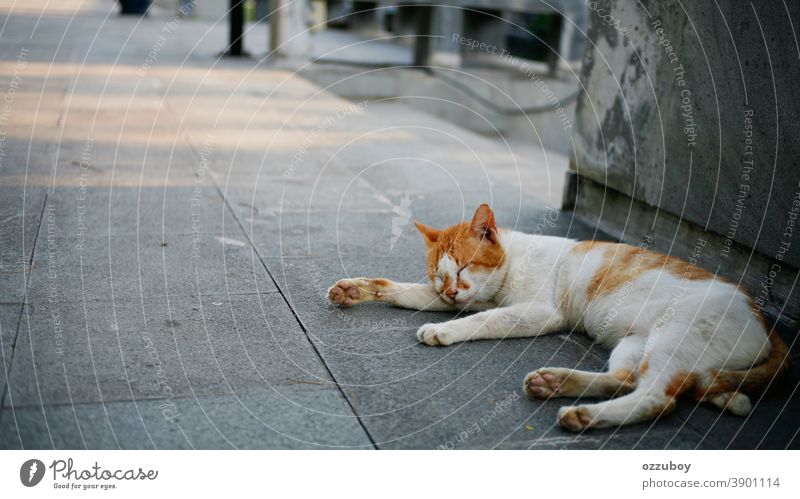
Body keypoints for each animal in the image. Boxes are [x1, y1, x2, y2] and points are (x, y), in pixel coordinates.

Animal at [328, 205, 792, 432]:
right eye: (438, 277)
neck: (512, 264)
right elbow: (401, 290)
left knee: (658, 397)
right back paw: (555, 382)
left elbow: (482, 321)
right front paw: (356, 289)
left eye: (462, 267)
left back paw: (585, 416)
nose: (452, 291)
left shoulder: (535, 312)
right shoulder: (458, 298)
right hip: (637, 345)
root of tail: (766, 323)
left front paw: (444, 329)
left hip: (671, 337)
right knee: (632, 380)